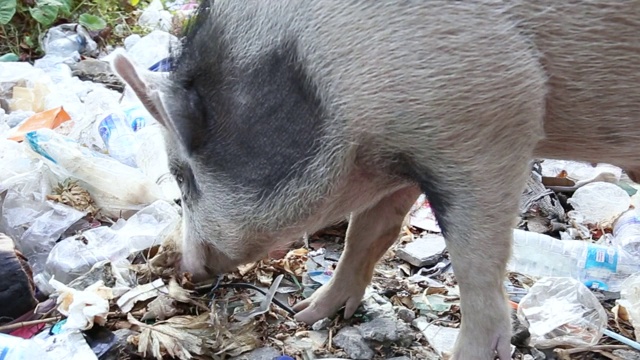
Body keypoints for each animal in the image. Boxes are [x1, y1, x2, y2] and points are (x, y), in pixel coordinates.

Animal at [110, 1, 640, 358]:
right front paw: (310, 314)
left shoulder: (491, 121)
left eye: (182, 177)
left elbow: (476, 268)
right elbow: (367, 234)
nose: (180, 266)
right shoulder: (401, 159)